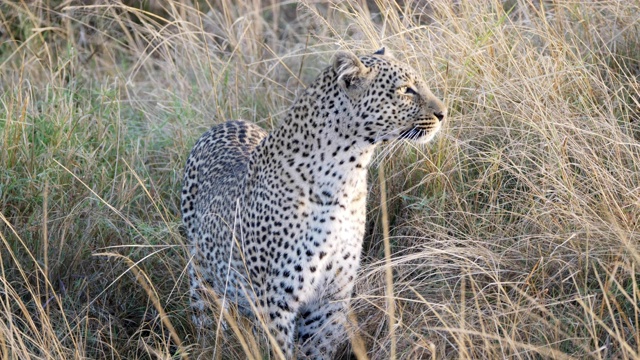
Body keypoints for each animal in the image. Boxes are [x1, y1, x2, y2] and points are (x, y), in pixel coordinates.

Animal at [180, 48, 444, 360]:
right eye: (406, 90)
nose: (443, 113)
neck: (347, 178)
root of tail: (228, 122)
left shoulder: (331, 300)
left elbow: (318, 349)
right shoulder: (274, 303)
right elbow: (277, 351)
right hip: (202, 276)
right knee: (205, 316)